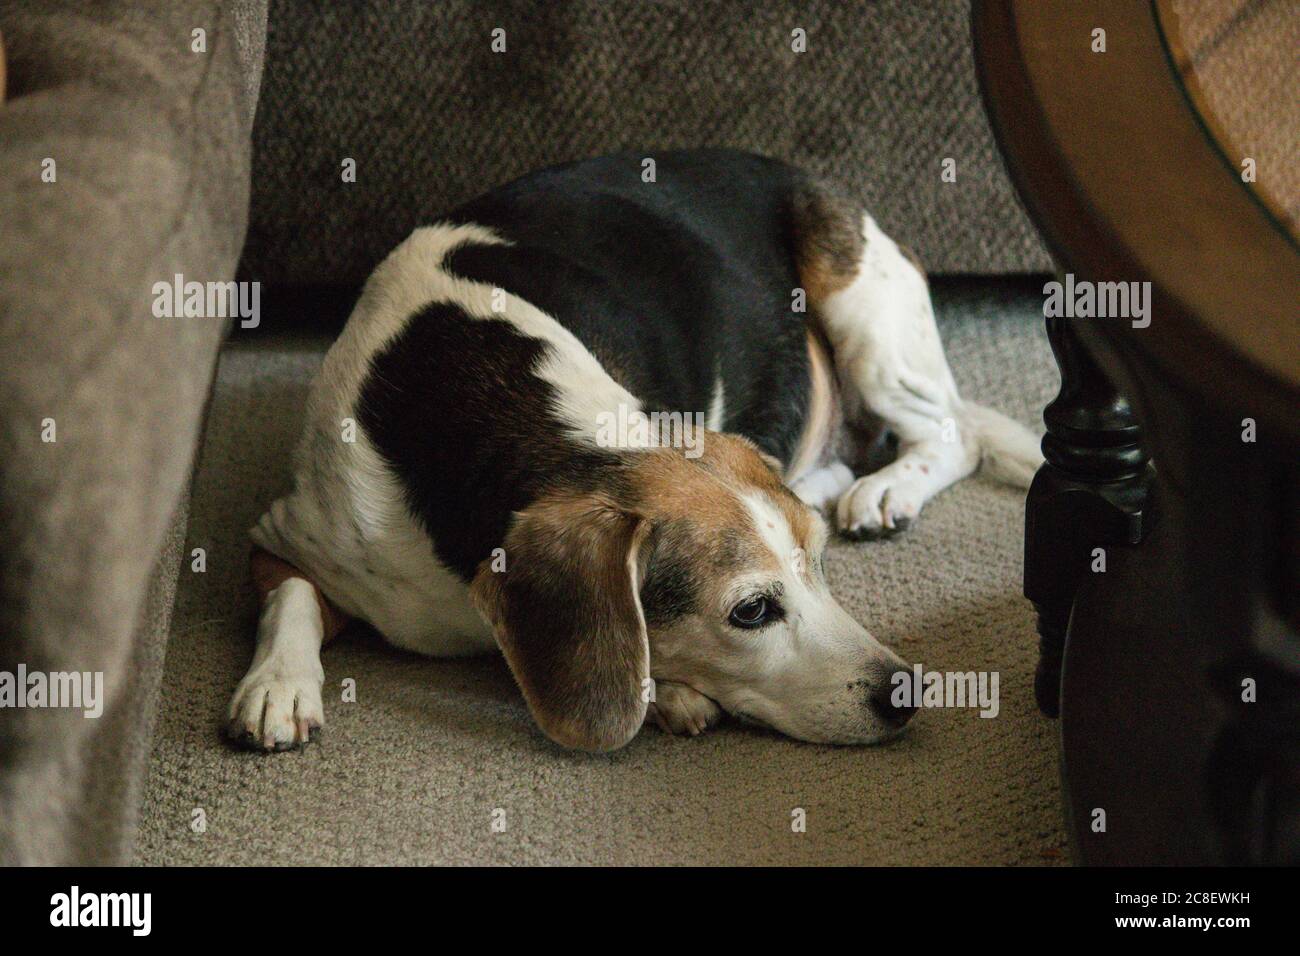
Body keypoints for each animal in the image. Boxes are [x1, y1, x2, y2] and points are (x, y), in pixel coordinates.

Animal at [228, 145, 1045, 749]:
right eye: (751, 611)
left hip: (864, 317)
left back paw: (888, 490)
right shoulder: (286, 532)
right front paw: (278, 684)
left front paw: (668, 695)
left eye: (817, 566)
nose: (907, 691)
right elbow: (291, 595)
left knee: (955, 433)